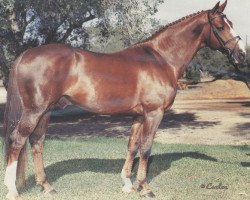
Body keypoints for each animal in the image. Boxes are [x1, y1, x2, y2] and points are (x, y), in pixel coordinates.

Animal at [3, 1, 246, 198]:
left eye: (231, 23)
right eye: (221, 26)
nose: (241, 54)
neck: (161, 59)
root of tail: (25, 54)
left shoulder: (139, 115)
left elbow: (132, 146)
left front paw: (127, 184)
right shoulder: (154, 113)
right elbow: (146, 148)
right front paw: (145, 188)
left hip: (46, 111)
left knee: (37, 142)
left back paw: (47, 187)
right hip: (35, 111)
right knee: (17, 140)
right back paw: (12, 190)